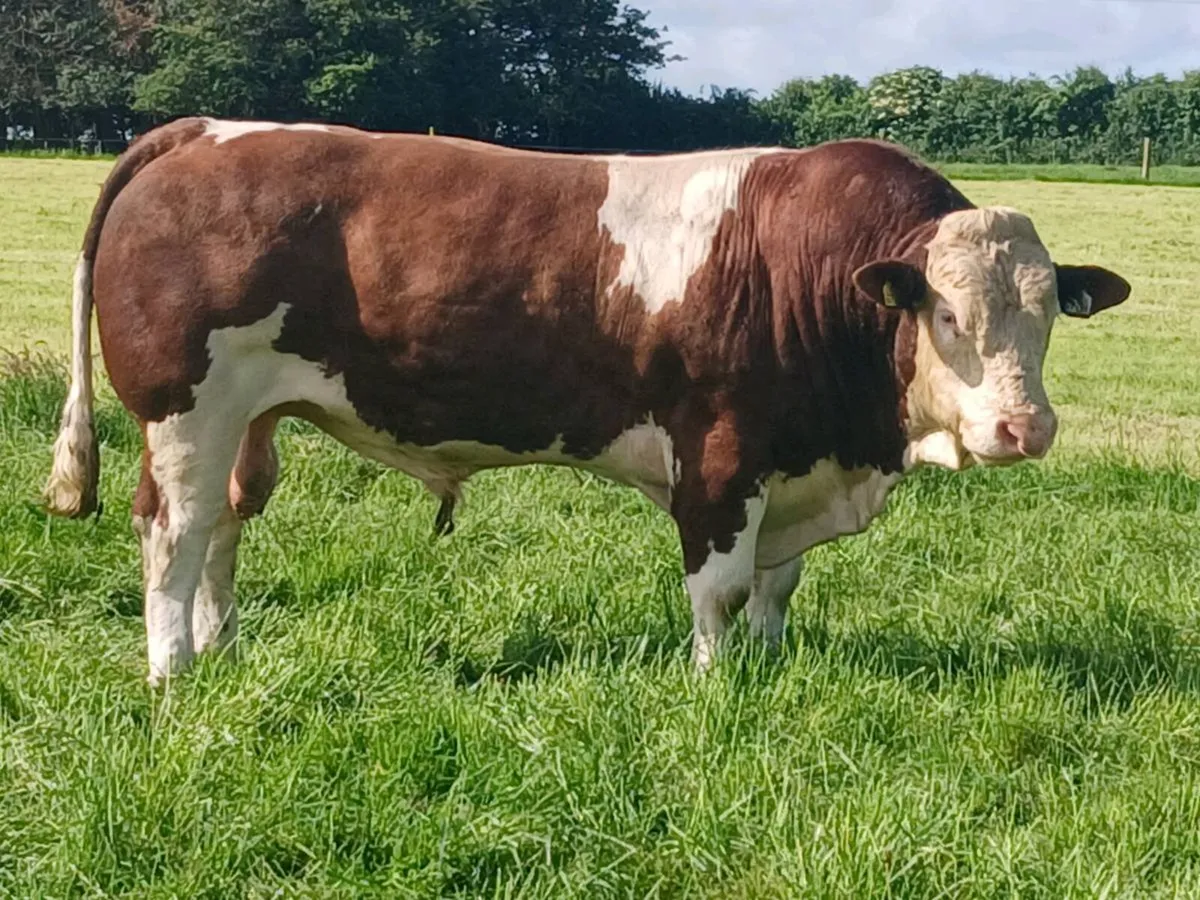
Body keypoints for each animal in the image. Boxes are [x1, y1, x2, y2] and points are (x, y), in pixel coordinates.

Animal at [42, 117, 1131, 686]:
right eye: (946, 313)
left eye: (1048, 314)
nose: (1025, 428)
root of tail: (206, 131)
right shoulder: (722, 458)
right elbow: (720, 589)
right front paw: (713, 691)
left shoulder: (799, 465)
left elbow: (777, 591)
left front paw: (769, 671)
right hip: (185, 411)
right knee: (174, 534)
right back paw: (173, 676)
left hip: (244, 419)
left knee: (224, 526)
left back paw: (221, 653)